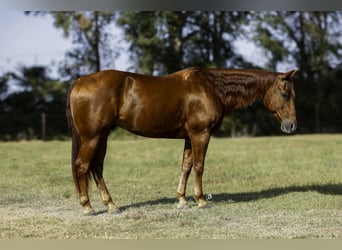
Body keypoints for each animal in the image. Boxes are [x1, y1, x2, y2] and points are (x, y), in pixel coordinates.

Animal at [66, 67, 296, 215]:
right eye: (285, 93)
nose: (292, 125)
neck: (210, 88)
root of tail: (79, 81)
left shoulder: (188, 136)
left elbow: (186, 166)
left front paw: (182, 200)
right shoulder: (200, 134)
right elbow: (199, 166)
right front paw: (201, 200)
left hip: (102, 136)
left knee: (96, 168)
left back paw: (111, 205)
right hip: (92, 137)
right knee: (82, 166)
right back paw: (87, 207)